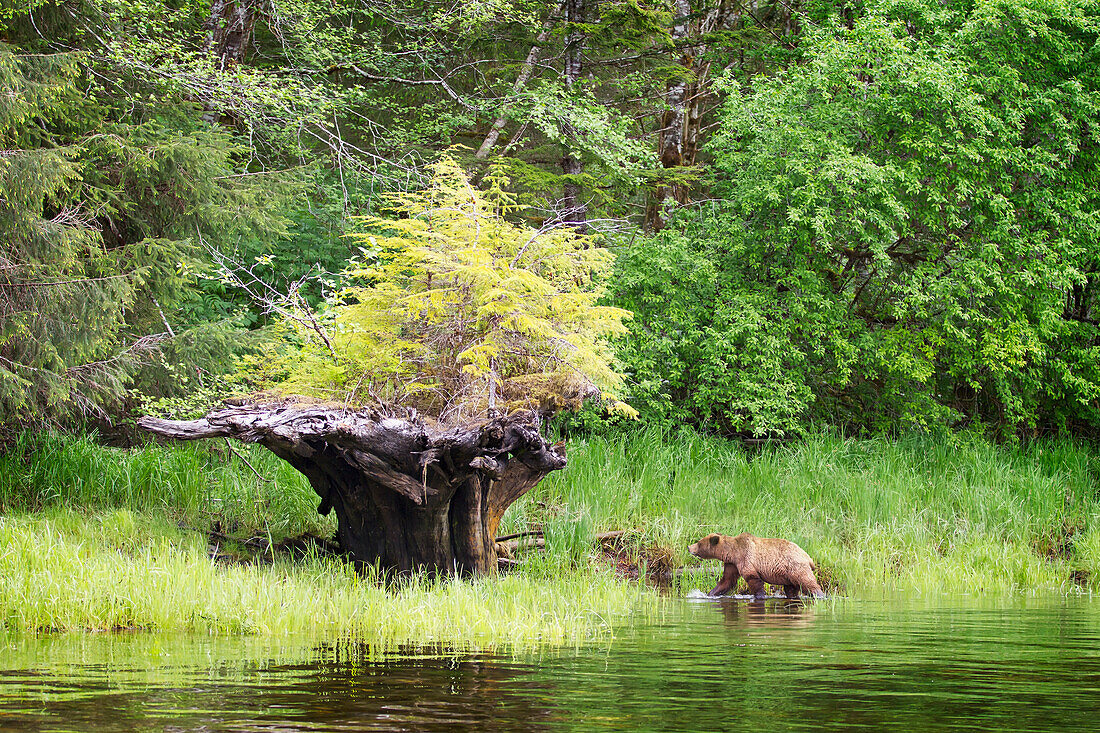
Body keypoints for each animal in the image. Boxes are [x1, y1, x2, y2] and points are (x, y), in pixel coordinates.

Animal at [686, 534, 827, 598]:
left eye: (698, 543)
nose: (689, 547)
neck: (733, 552)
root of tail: (809, 557)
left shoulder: (746, 558)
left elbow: (753, 578)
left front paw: (759, 595)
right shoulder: (732, 564)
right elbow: (727, 580)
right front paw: (710, 593)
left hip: (795, 566)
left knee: (807, 582)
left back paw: (820, 595)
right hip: (788, 575)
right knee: (791, 588)